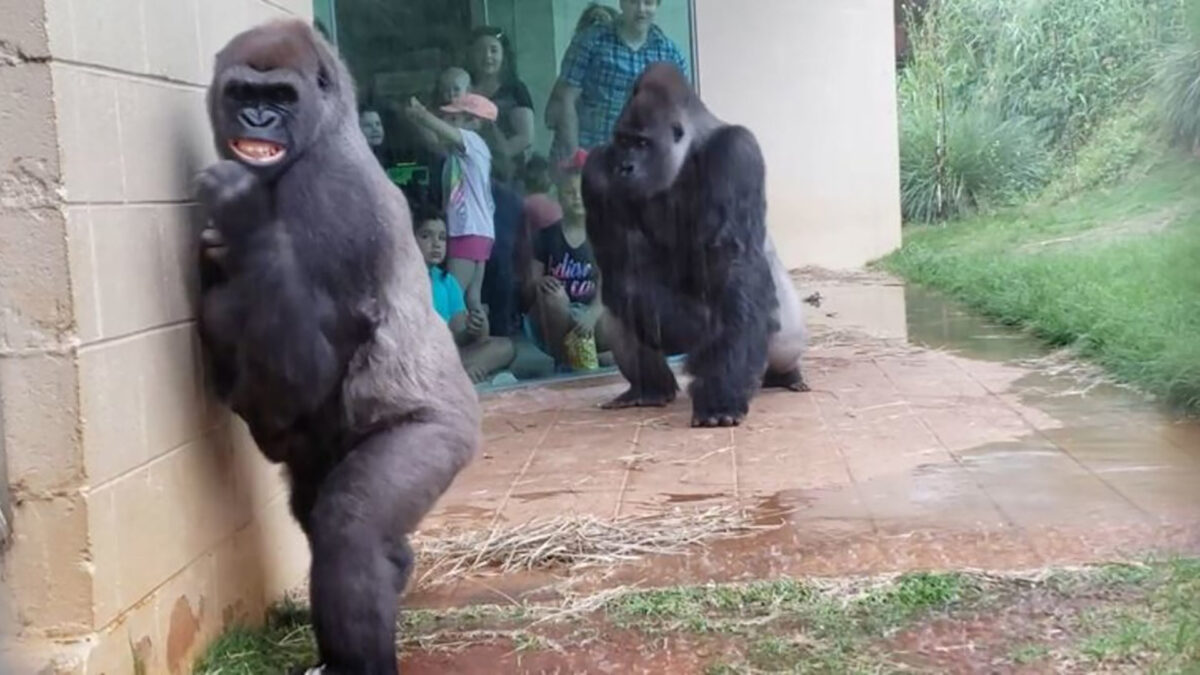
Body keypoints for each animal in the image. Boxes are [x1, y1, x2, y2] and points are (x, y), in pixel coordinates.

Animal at [195, 18, 477, 667]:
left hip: (443, 437)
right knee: (315, 508)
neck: (329, 131)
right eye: (243, 94)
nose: (258, 121)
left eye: (281, 98)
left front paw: (243, 212)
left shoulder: (330, 199)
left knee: (350, 528)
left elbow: (309, 371)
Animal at [580, 61, 806, 425]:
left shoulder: (736, 153)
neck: (686, 152)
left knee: (782, 339)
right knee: (620, 306)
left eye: (642, 143)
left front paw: (720, 398)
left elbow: (734, 266)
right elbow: (626, 275)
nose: (625, 167)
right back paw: (649, 390)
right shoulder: (597, 170)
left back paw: (785, 374)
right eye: (623, 141)